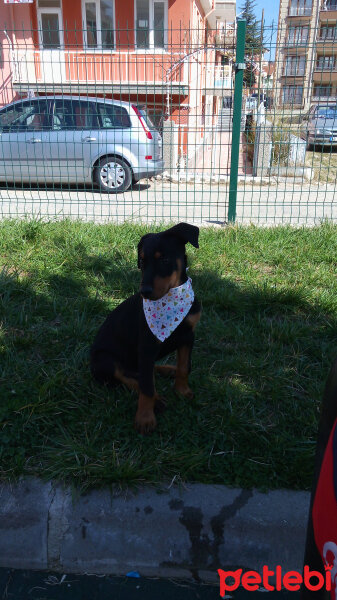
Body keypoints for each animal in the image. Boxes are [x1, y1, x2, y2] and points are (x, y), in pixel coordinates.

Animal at [89, 223, 201, 434]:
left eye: (164, 259)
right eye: (142, 261)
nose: (145, 292)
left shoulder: (188, 336)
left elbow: (184, 366)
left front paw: (182, 391)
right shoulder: (148, 343)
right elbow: (147, 387)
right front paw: (145, 418)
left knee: (143, 371)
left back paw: (168, 370)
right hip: (105, 359)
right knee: (131, 377)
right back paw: (157, 401)